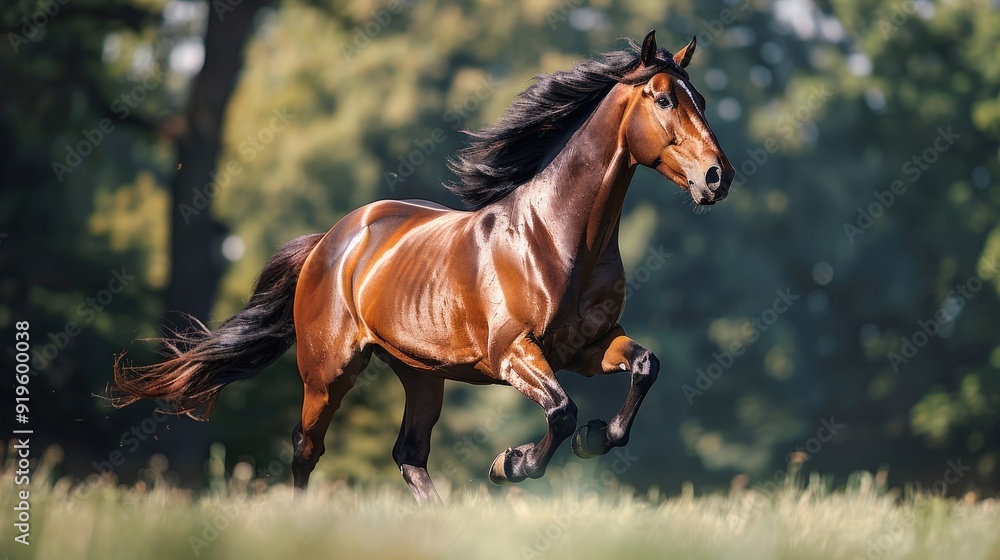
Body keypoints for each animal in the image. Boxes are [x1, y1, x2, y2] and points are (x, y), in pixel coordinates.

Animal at [111, 30, 734, 504]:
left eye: (702, 98)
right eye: (664, 100)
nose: (717, 177)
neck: (560, 240)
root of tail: (329, 241)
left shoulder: (587, 348)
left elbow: (646, 367)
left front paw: (596, 438)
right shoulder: (513, 353)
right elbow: (560, 411)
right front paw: (510, 463)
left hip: (421, 372)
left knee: (408, 453)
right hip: (328, 372)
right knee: (306, 447)